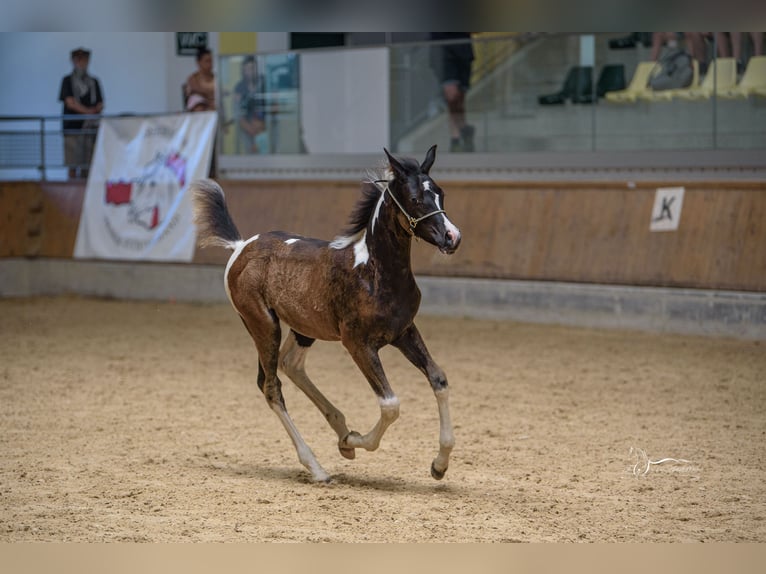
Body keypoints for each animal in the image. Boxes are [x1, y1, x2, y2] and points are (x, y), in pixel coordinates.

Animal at [192, 146, 464, 484]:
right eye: (415, 199)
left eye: (440, 193)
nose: (452, 237)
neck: (375, 272)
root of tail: (241, 246)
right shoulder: (358, 344)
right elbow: (390, 404)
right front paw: (354, 441)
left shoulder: (404, 332)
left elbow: (438, 378)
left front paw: (439, 465)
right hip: (263, 325)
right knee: (271, 386)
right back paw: (318, 467)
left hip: (303, 329)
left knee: (291, 365)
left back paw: (339, 427)